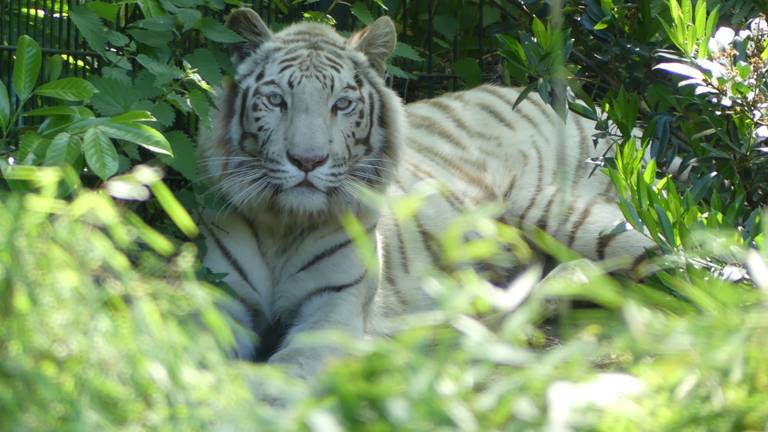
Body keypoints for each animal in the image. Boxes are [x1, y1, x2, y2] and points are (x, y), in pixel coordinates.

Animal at [198, 9, 656, 378]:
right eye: (276, 100)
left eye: (342, 104)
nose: (307, 160)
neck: (286, 224)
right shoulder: (223, 298)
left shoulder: (333, 310)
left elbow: (287, 368)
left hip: (555, 209)